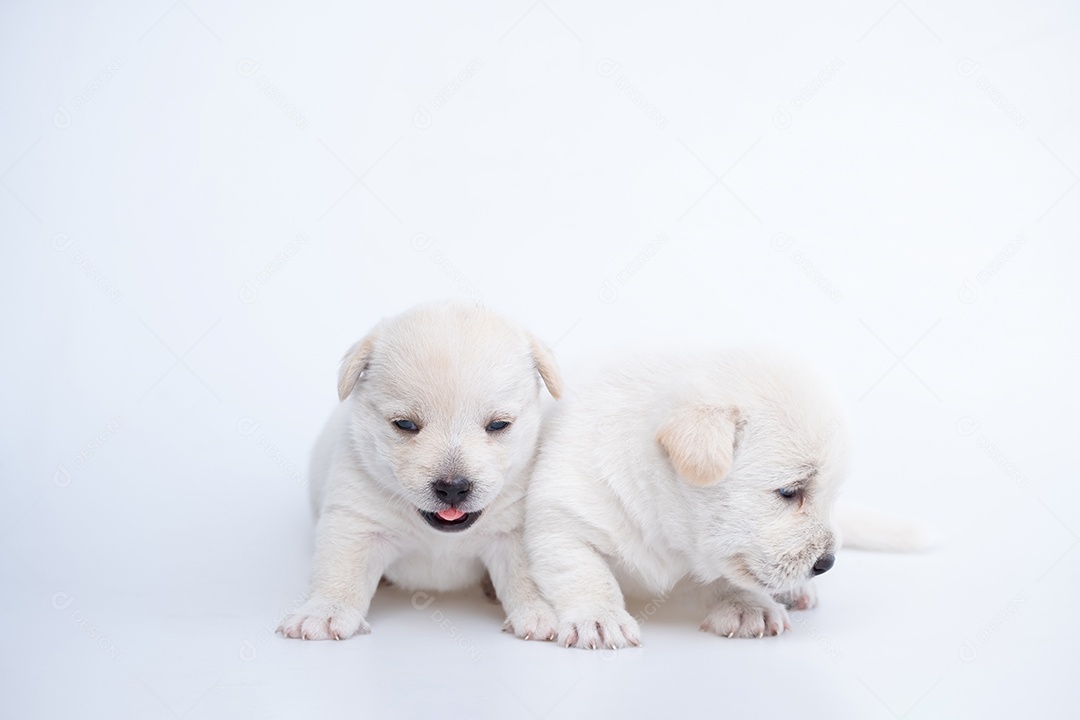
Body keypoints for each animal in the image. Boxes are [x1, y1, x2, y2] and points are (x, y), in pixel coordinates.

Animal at [278, 304, 561, 643]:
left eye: (498, 424)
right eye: (405, 424)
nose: (453, 488)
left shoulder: (514, 531)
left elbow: (525, 573)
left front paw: (539, 611)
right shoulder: (355, 520)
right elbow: (341, 567)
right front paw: (325, 611)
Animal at [522, 351, 928, 651]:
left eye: (830, 496)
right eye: (790, 492)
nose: (826, 564)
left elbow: (729, 574)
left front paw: (746, 604)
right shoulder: (560, 522)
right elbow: (585, 573)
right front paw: (600, 617)